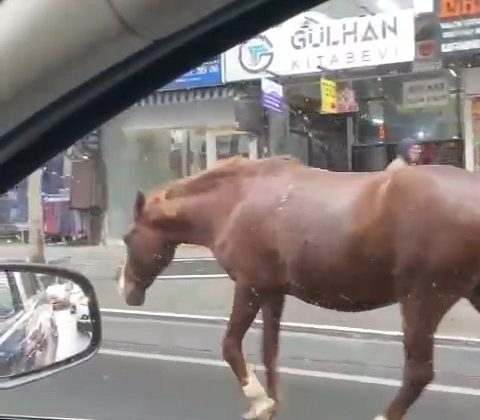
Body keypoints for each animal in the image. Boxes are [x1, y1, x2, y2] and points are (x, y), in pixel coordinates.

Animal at [118, 157, 480, 420]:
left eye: (127, 237)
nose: (127, 290)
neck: (234, 202)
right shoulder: (272, 292)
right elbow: (270, 352)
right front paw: (271, 404)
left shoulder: (249, 286)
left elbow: (231, 345)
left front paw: (260, 402)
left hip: (423, 299)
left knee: (418, 373)